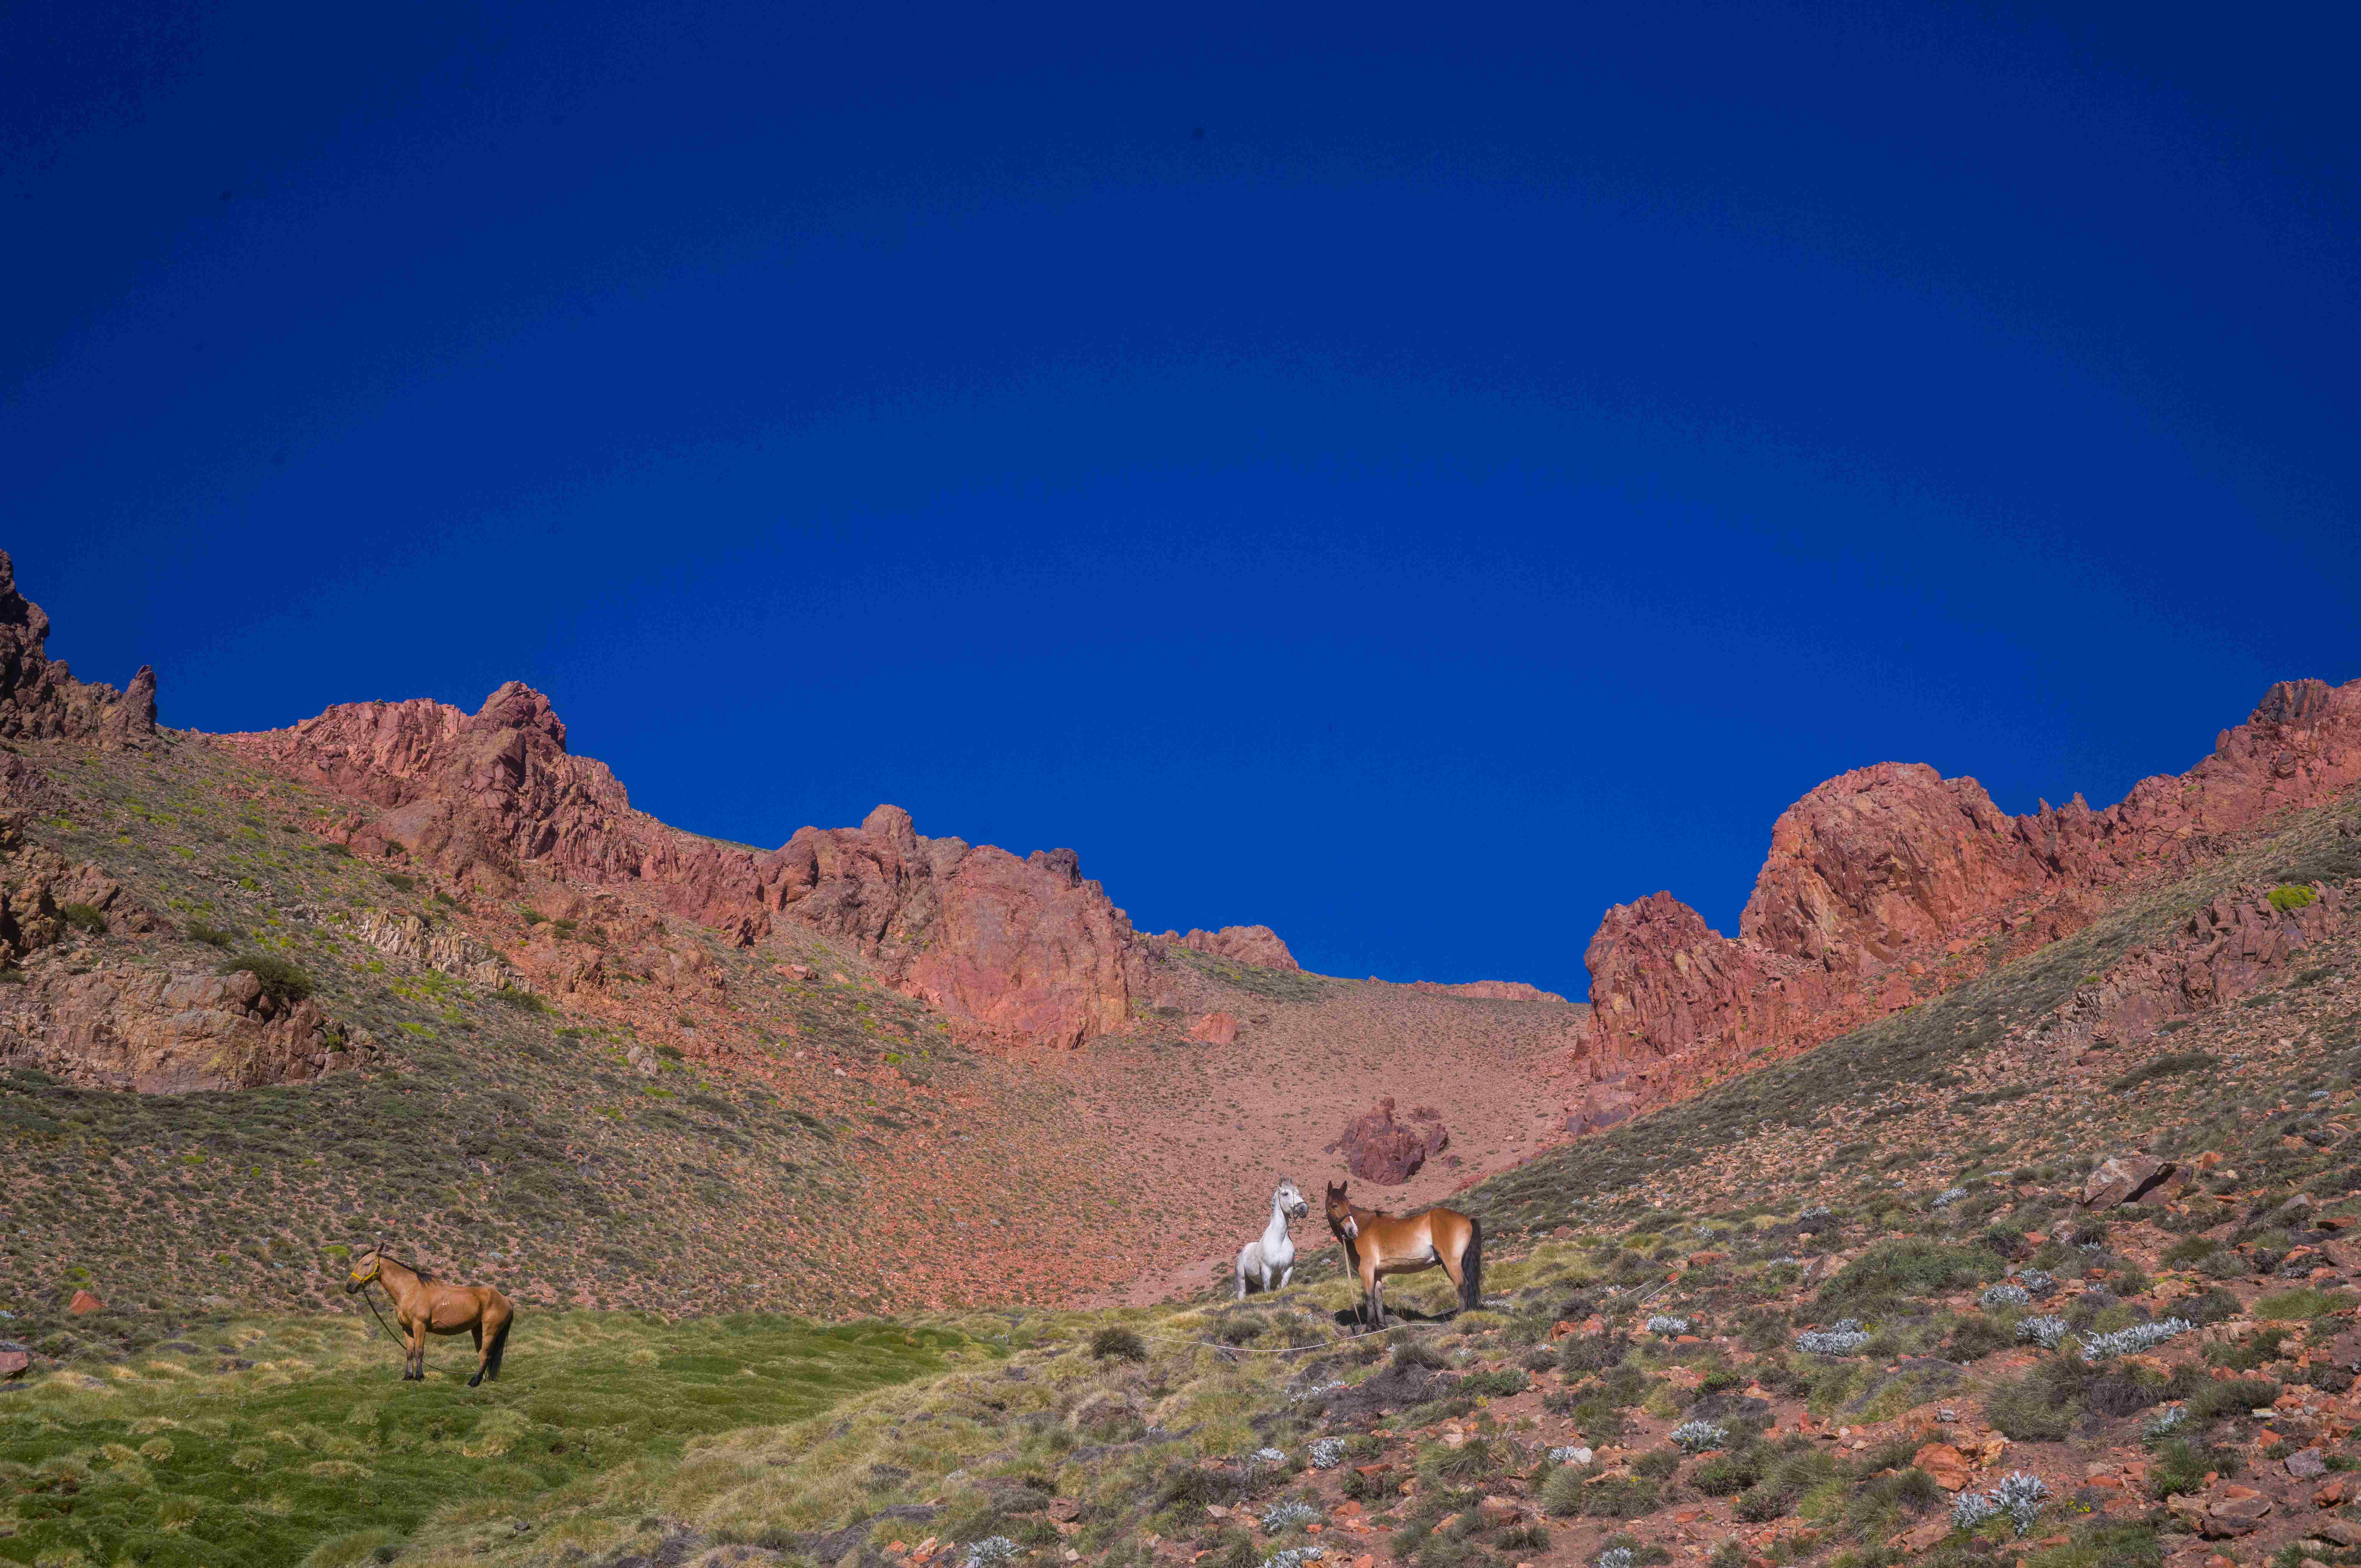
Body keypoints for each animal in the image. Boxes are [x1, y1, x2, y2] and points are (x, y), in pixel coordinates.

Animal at [345, 1242, 515, 1386]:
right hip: (478, 1330)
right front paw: (408, 1377)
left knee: (485, 1355)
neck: (409, 1290)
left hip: (490, 1332)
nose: (349, 1286)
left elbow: (420, 1352)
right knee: (482, 1355)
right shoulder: (407, 1328)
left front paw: (420, 1377)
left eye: (367, 1263)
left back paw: (473, 1383)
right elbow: (409, 1352)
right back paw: (480, 1380)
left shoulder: (420, 1326)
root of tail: (506, 1300)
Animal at [1235, 1179, 1310, 1298]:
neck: (1279, 1242)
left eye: (1298, 1192)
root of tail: (1243, 1252)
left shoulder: (1288, 1271)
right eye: (1286, 1194)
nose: (1304, 1208)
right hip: (1242, 1284)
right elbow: (1267, 1291)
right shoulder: (1267, 1272)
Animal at [1323, 1179, 1481, 1330]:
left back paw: (1459, 1318)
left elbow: (1369, 1298)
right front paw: (1383, 1327)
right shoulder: (1377, 1274)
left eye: (1348, 1204)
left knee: (1462, 1285)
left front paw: (1370, 1328)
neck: (1365, 1227)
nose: (1353, 1231)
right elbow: (1379, 1299)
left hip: (1451, 1262)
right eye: (1335, 1205)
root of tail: (1467, 1219)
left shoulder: (1366, 1271)